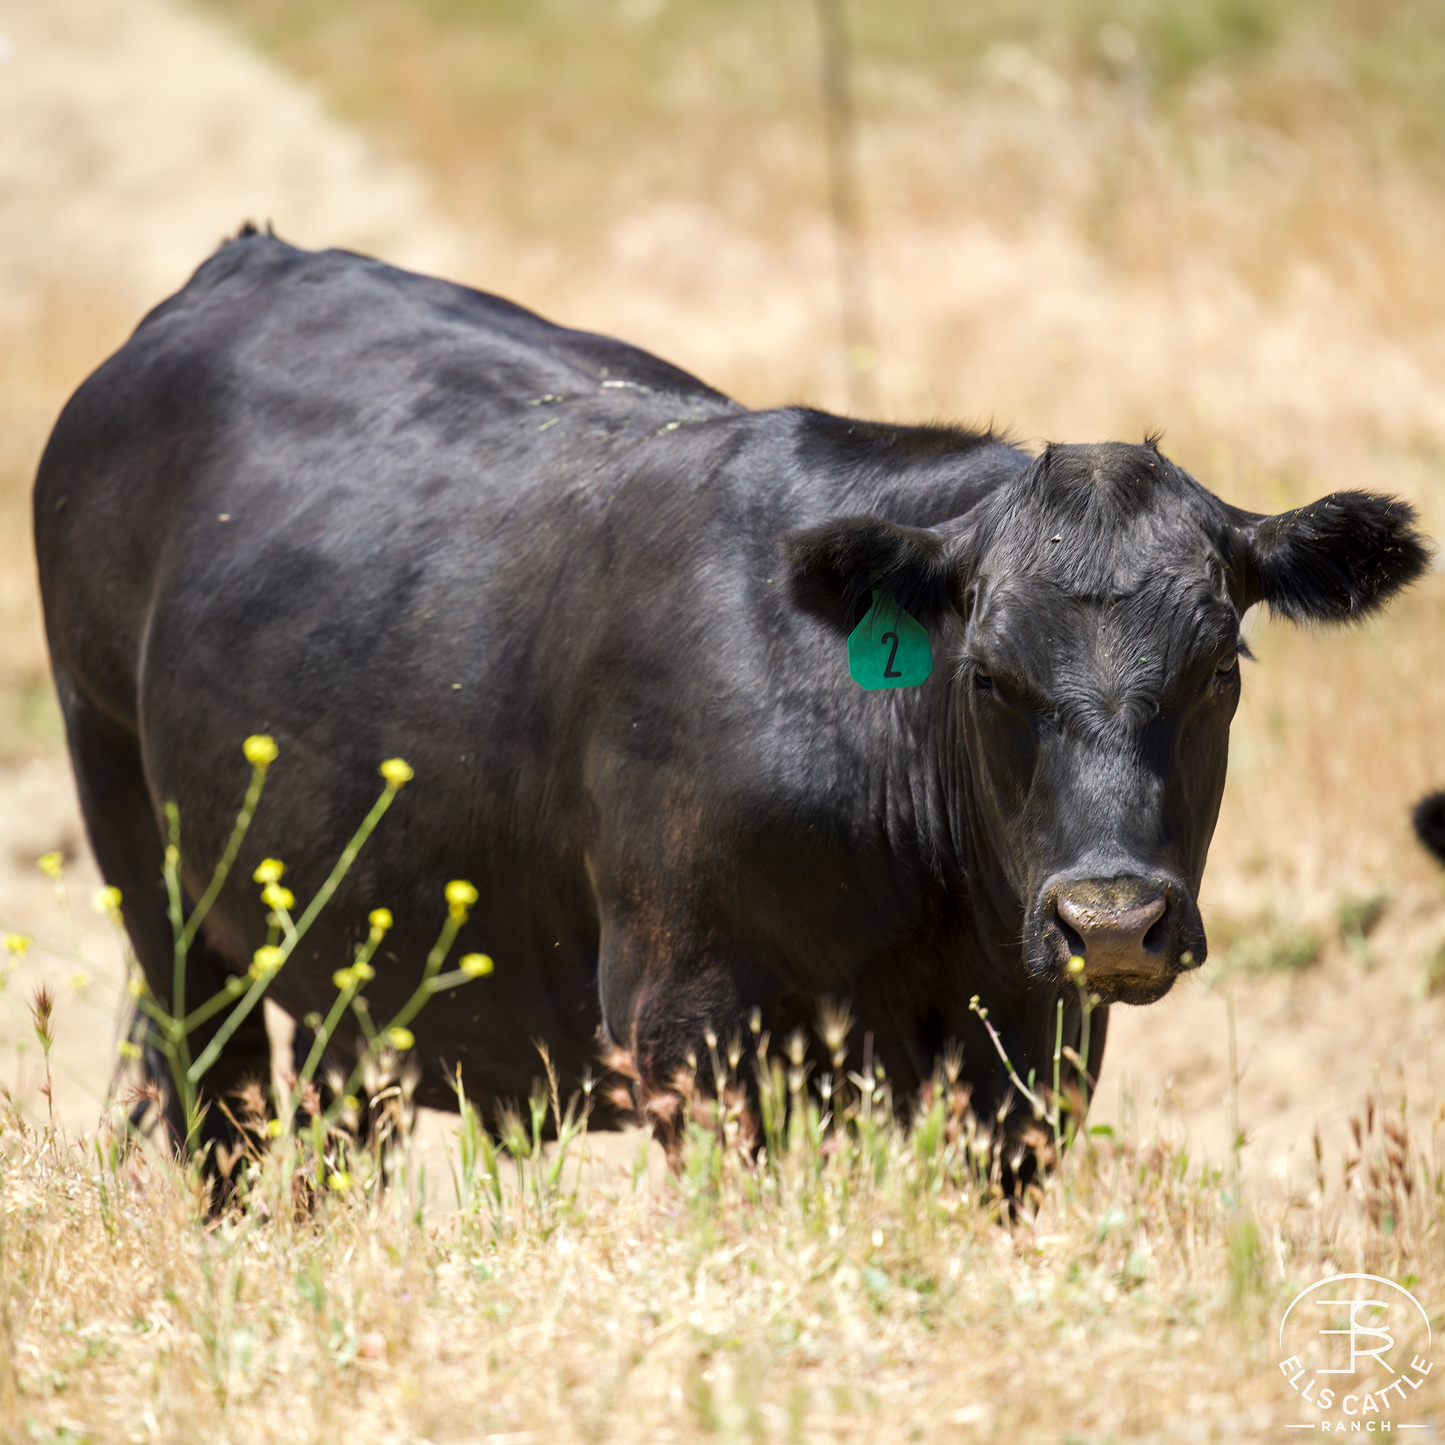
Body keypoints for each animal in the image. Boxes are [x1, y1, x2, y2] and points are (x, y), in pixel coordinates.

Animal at [33, 234, 1433, 1161]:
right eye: (984, 674)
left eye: (1219, 671)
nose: (1110, 920)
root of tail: (247, 259)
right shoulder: (686, 1025)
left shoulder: (1032, 1048)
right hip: (148, 869)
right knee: (214, 1101)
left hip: (331, 955)